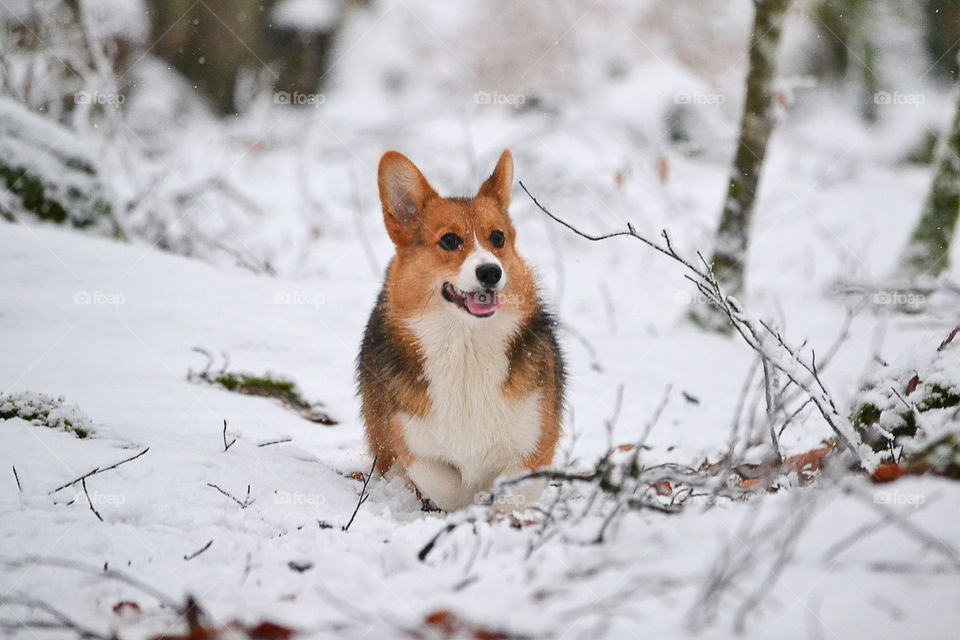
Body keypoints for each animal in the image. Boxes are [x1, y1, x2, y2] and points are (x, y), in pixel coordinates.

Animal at [358, 149, 568, 510]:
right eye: (449, 241)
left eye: (498, 238)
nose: (491, 272)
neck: (465, 344)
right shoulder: (415, 446)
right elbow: (447, 487)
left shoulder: (534, 447)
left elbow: (511, 494)